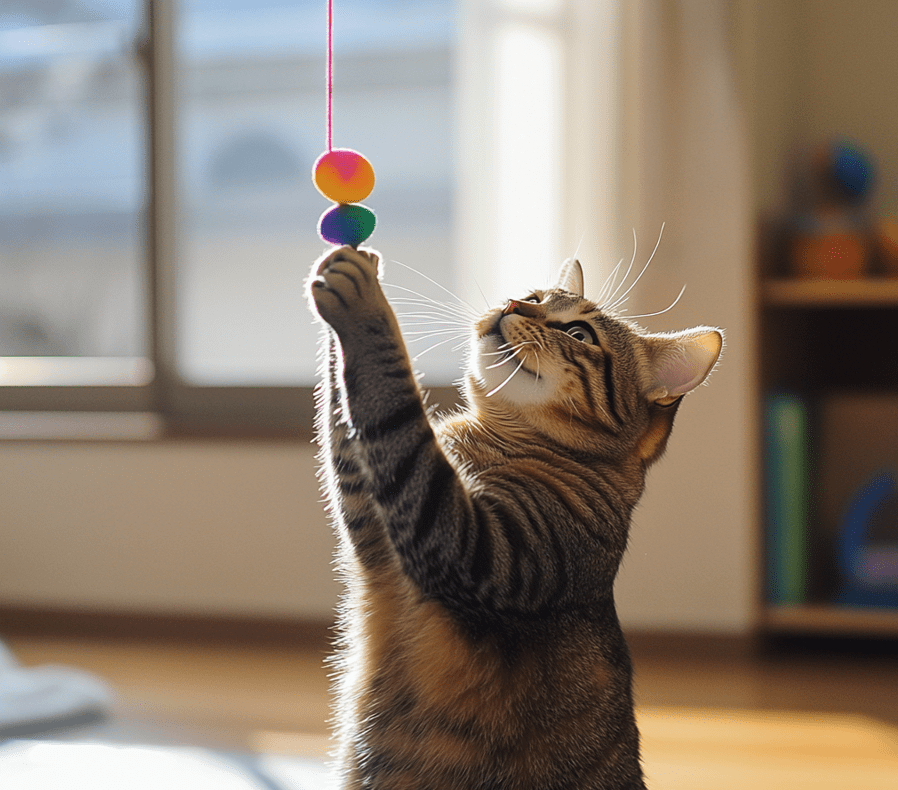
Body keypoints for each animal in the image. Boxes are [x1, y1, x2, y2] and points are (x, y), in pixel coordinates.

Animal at [308, 244, 720, 788]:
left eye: (578, 334)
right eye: (534, 296)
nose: (511, 304)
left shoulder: (473, 548)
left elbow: (393, 402)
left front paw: (366, 303)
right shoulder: (372, 518)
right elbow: (351, 420)